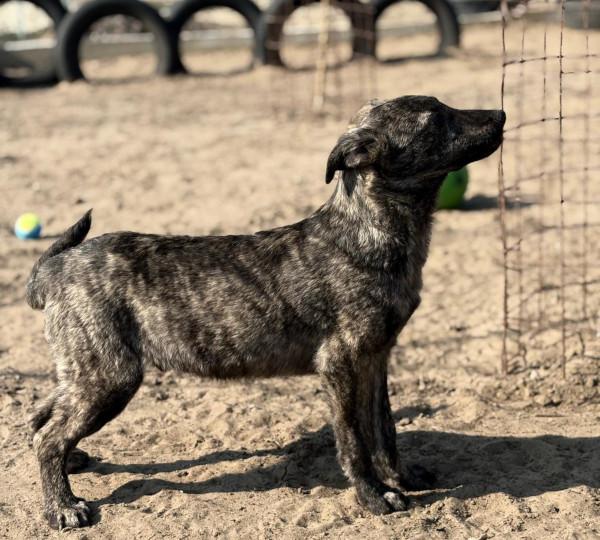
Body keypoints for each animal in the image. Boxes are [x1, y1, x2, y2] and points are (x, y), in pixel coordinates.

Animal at [27, 95, 505, 529]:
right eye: (436, 119)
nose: (501, 115)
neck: (363, 231)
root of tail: (55, 267)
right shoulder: (342, 363)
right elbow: (353, 439)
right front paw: (373, 497)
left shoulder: (376, 359)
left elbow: (384, 430)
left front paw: (401, 478)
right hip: (111, 377)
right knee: (49, 437)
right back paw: (62, 506)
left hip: (88, 370)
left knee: (41, 414)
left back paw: (72, 461)